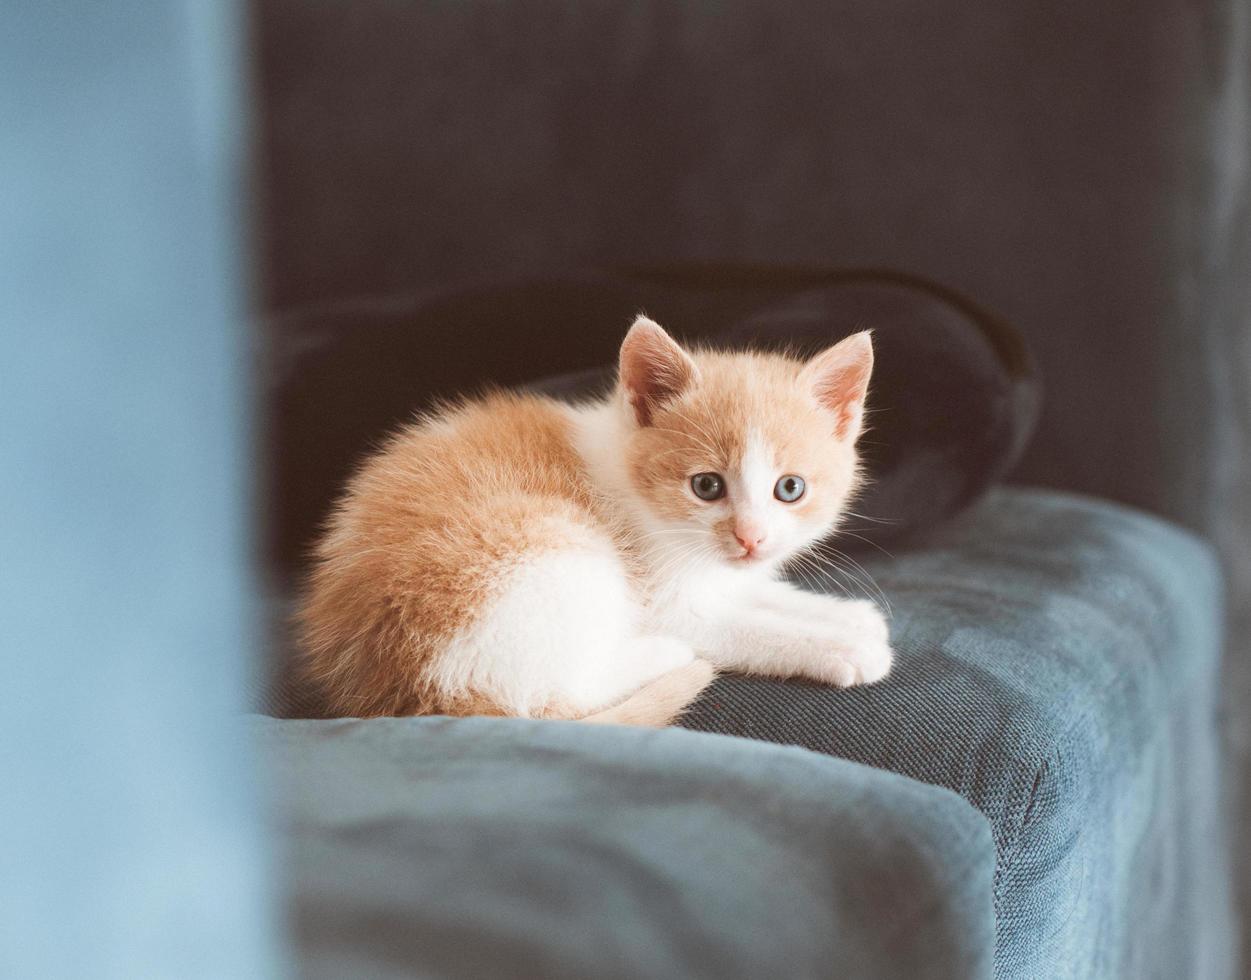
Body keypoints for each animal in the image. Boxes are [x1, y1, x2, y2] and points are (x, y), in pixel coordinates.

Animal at [298, 317, 895, 725]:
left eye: (789, 489)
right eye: (706, 486)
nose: (751, 538)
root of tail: (412, 693)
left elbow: (753, 593)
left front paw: (847, 616)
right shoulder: (660, 598)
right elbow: (741, 628)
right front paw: (841, 648)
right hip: (551, 554)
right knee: (553, 697)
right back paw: (661, 654)